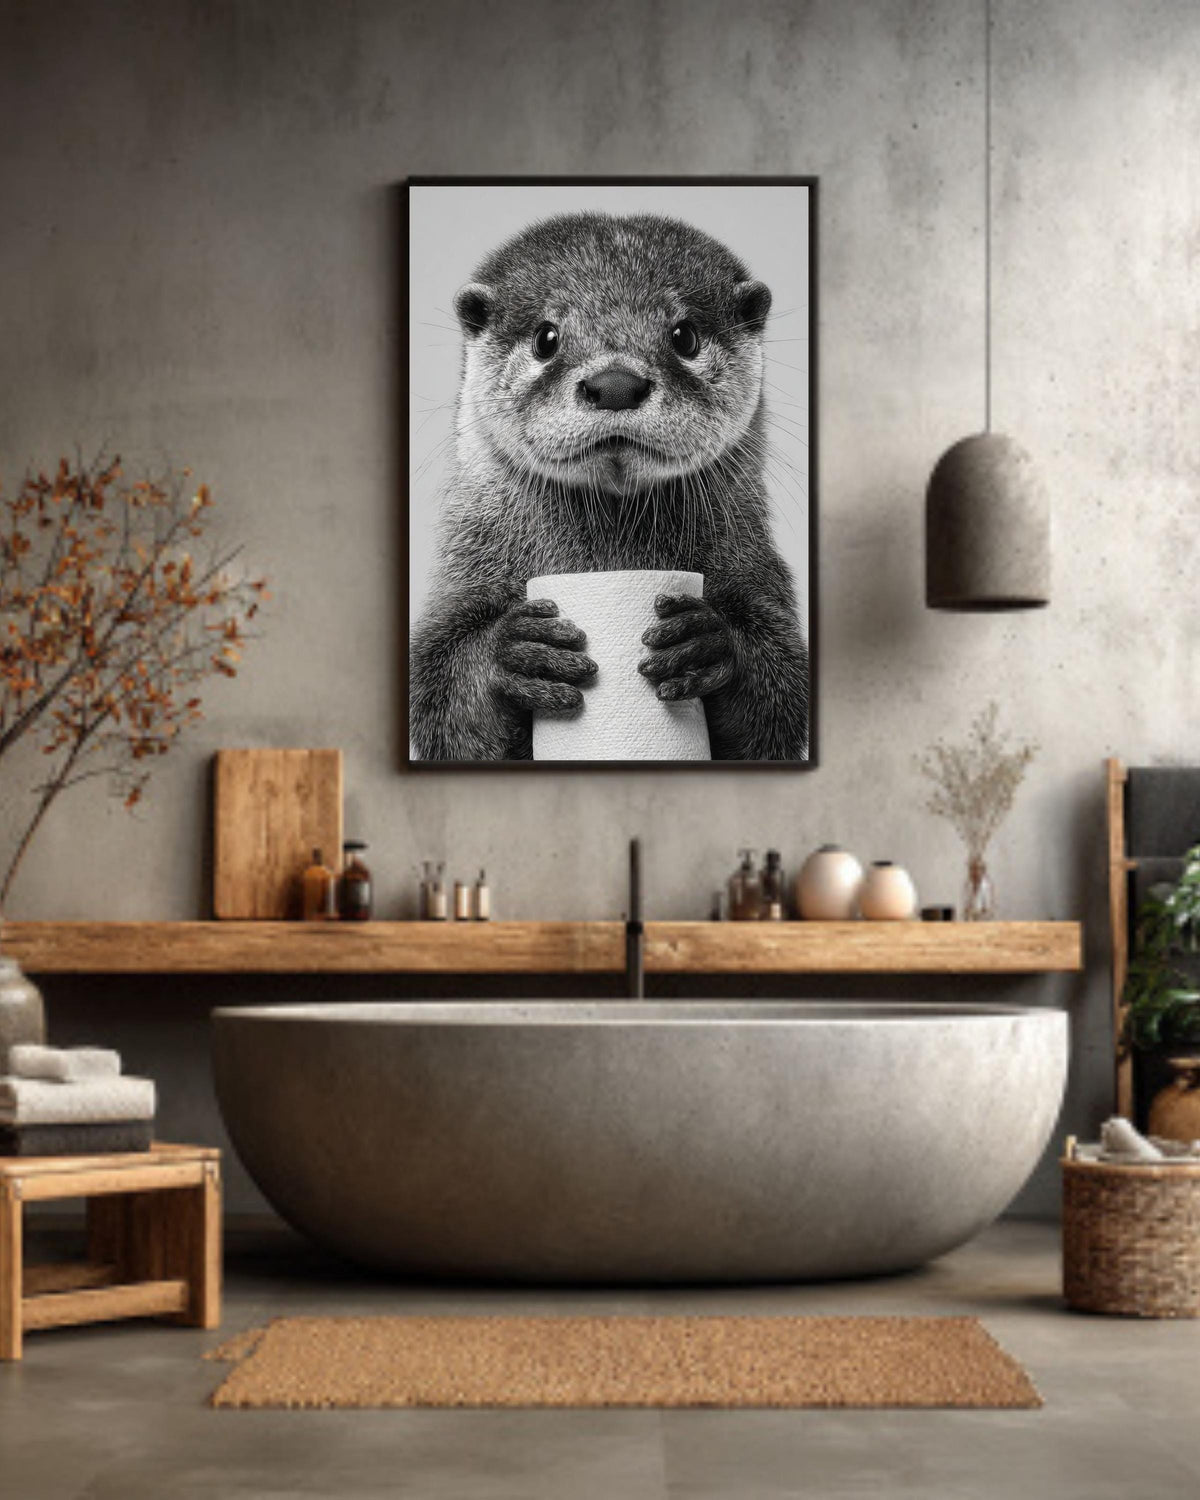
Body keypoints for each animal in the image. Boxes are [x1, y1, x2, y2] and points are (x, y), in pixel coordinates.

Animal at [409, 211, 809, 761]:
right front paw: (510, 653)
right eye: (546, 338)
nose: (616, 384)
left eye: (684, 336)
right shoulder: (462, 578)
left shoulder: (761, 575)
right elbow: (442, 705)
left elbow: (778, 709)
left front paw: (711, 641)